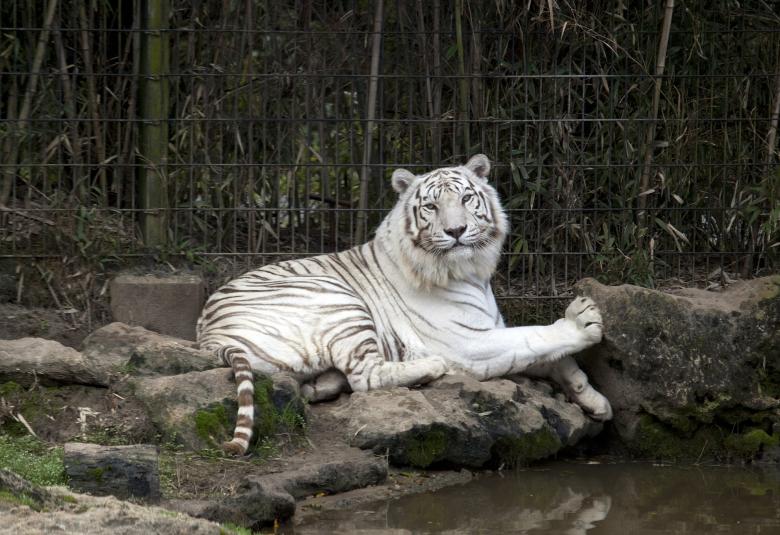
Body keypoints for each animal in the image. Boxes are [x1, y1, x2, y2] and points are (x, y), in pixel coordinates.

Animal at [197, 155, 612, 455]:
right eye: (430, 206)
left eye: (466, 198)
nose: (456, 231)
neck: (471, 272)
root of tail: (208, 334)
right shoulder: (469, 342)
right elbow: (535, 337)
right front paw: (581, 322)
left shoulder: (493, 327)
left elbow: (552, 357)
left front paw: (594, 400)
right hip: (338, 300)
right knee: (365, 377)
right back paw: (430, 367)